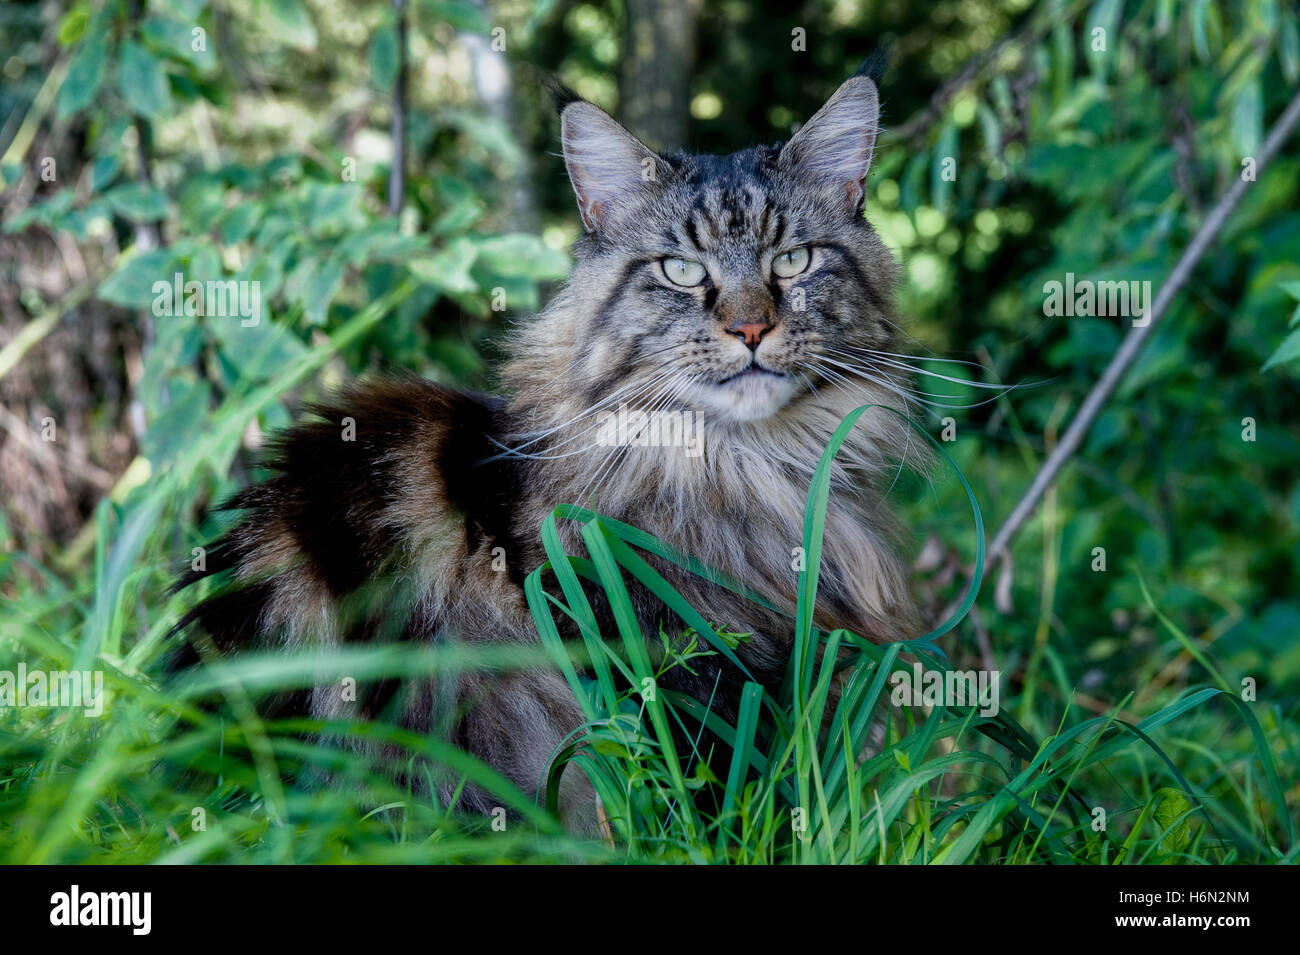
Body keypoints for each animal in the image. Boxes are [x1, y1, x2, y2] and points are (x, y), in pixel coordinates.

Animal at [175, 59, 925, 831]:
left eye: (794, 260)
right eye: (681, 270)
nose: (750, 329)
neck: (744, 469)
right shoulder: (667, 660)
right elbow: (703, 805)